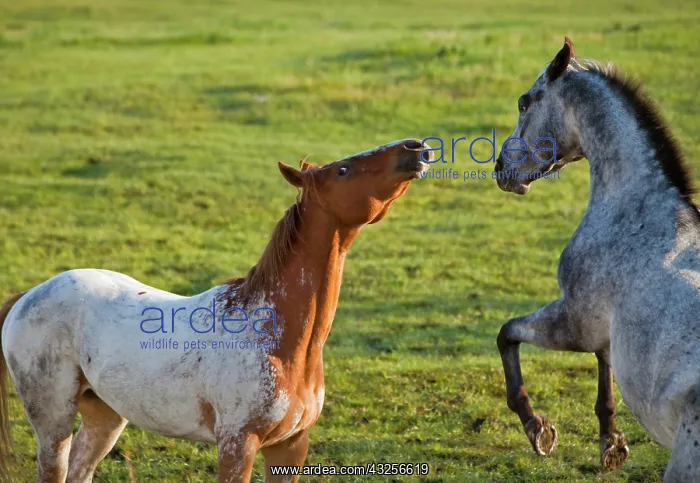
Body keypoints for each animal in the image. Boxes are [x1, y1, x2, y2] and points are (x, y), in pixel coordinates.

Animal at [0, 138, 432, 483]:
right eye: (343, 170)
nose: (415, 148)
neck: (272, 335)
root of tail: (26, 296)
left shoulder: (291, 446)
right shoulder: (237, 444)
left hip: (105, 417)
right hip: (53, 422)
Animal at [494, 37, 700, 479]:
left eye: (523, 104)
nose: (501, 169)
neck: (637, 208)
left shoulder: (576, 321)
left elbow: (508, 332)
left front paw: (536, 427)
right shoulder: (599, 324)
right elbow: (604, 365)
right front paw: (611, 443)